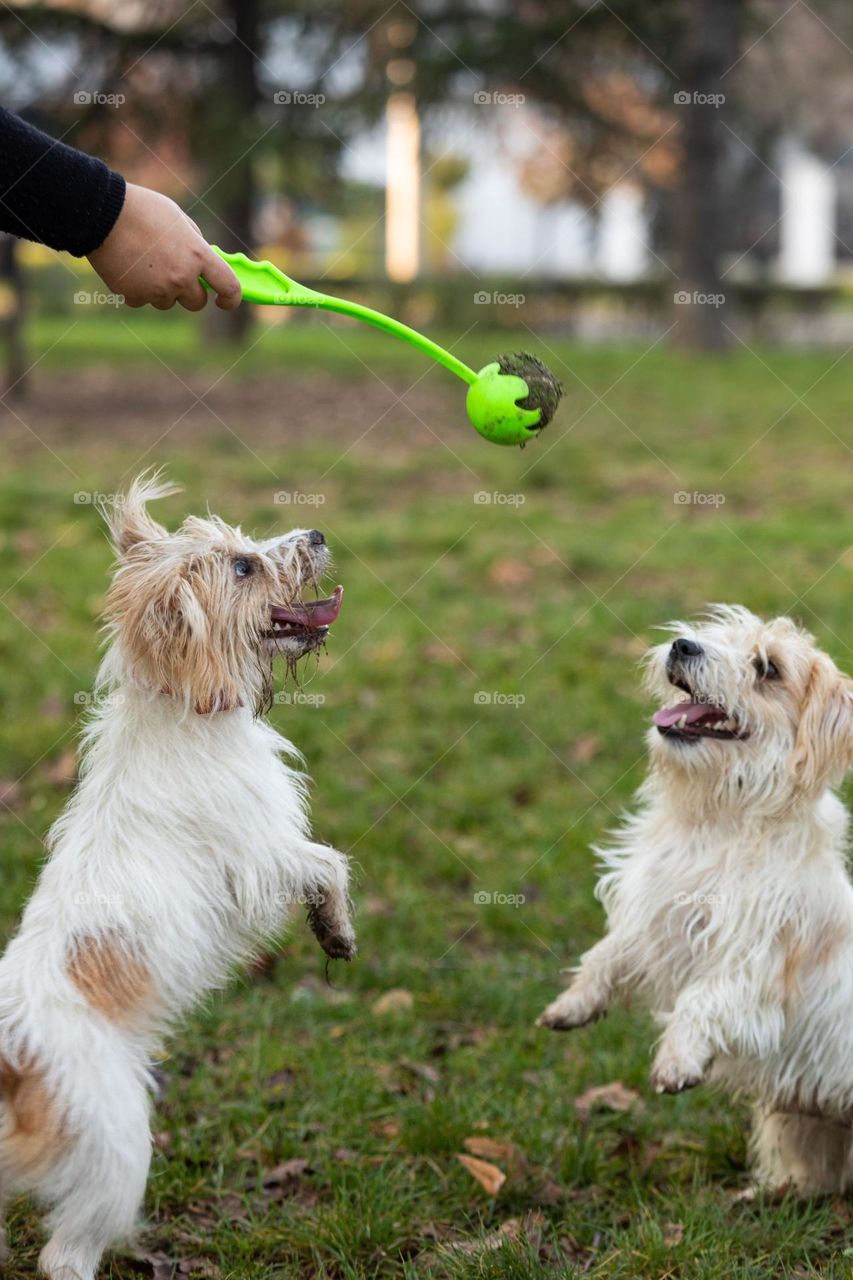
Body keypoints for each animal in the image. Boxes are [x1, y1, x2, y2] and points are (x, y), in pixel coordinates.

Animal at [0, 478, 353, 1280]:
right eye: (243, 568)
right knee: (64, 1257)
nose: (317, 533)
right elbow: (326, 862)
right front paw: (335, 929)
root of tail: (13, 1063)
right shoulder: (260, 856)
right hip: (119, 1152)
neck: (181, 708)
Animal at [537, 609, 850, 1198]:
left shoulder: (751, 963)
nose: (683, 645)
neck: (718, 816)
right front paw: (572, 1004)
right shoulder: (653, 912)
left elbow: (699, 1000)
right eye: (717, 632)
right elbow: (607, 954)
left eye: (768, 668)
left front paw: (677, 1061)